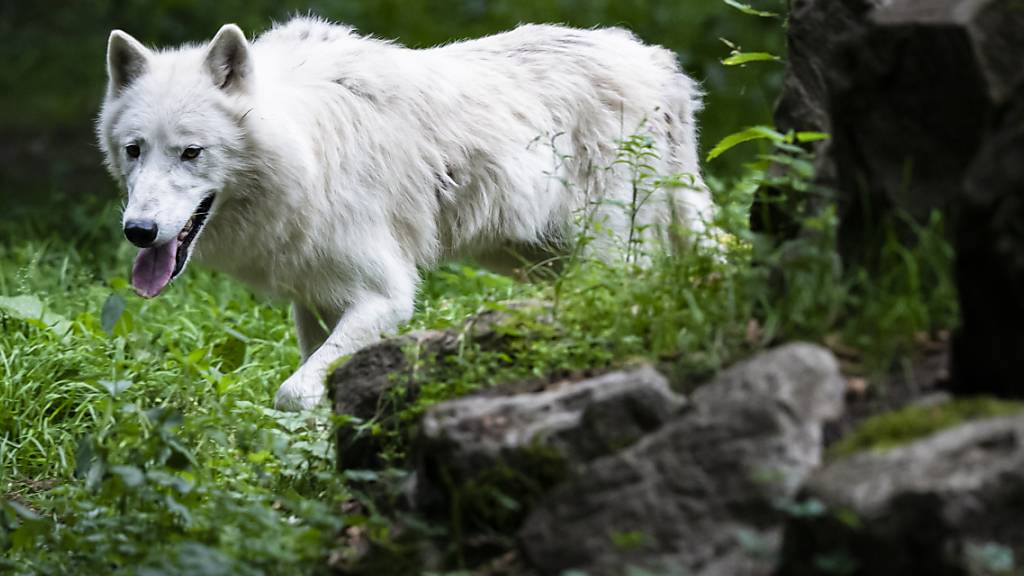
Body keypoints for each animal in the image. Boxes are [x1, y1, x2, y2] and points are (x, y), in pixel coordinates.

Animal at [97, 17, 712, 411]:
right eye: (134, 150)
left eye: (191, 152)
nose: (138, 231)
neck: (305, 152)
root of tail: (658, 62)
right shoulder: (313, 300)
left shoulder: (385, 295)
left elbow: (293, 392)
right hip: (540, 260)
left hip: (604, 254)